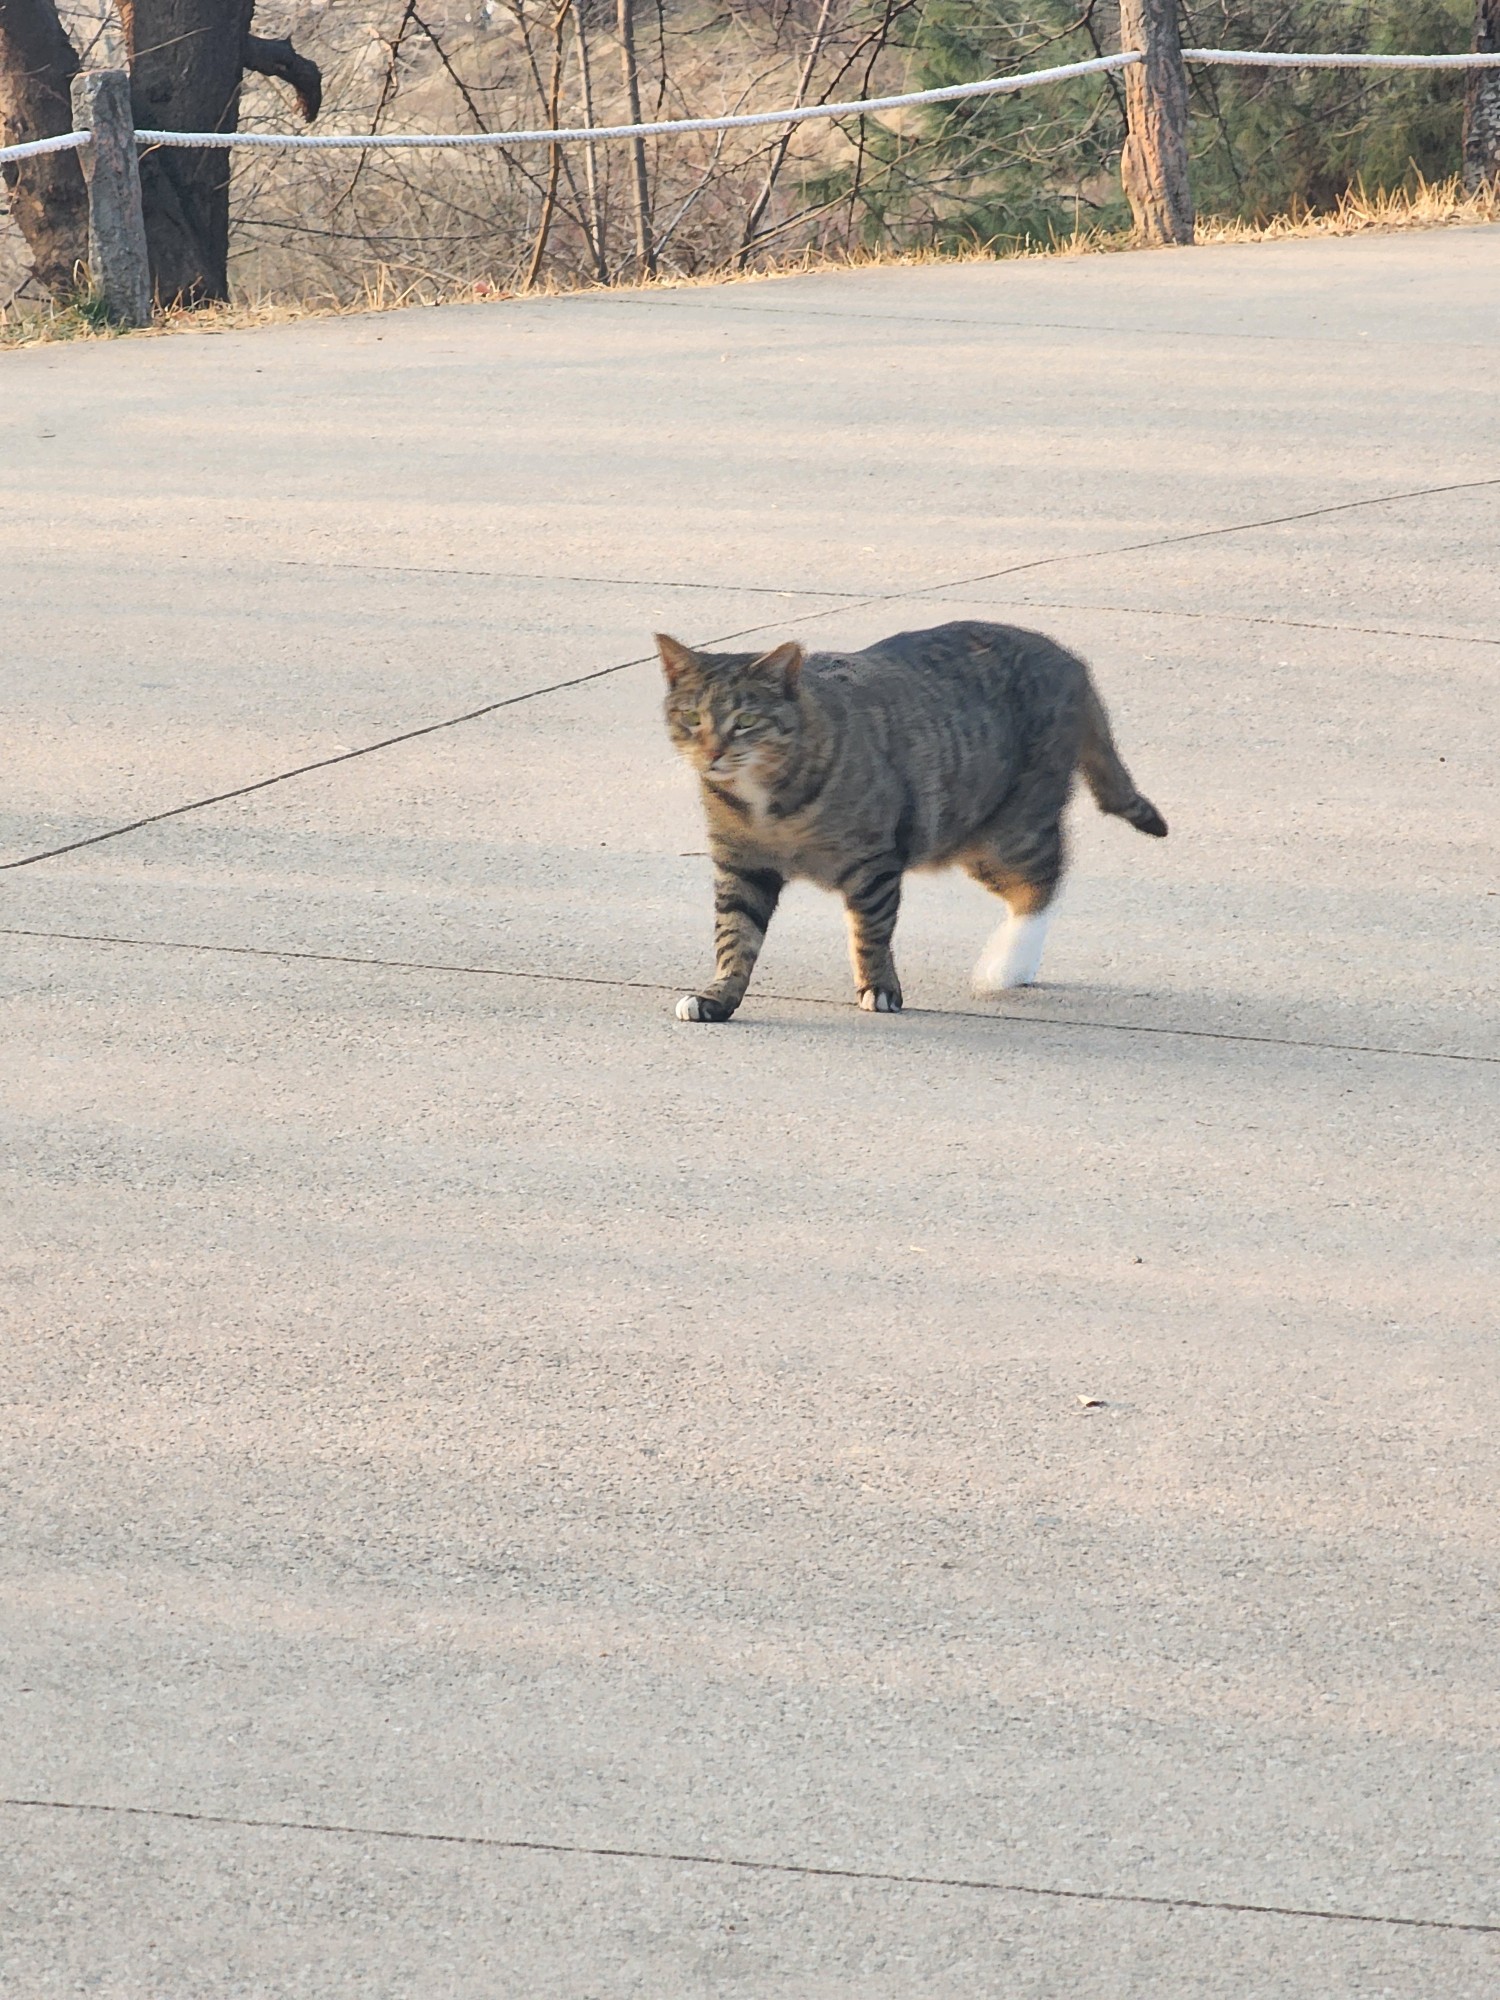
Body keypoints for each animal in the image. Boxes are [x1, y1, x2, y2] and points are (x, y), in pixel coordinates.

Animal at [658, 619, 1166, 1022]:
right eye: (691, 717)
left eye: (745, 721)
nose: (712, 754)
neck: (765, 802)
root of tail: (1069, 659)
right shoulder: (741, 865)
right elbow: (734, 934)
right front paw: (719, 996)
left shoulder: (873, 861)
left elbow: (871, 931)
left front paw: (879, 986)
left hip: (1005, 832)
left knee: (1043, 881)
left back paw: (1011, 962)